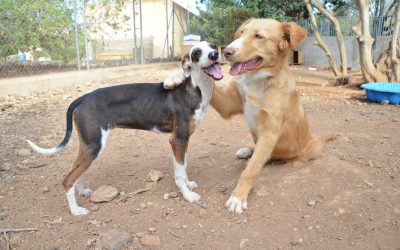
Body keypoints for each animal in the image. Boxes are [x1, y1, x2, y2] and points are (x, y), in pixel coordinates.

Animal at [26, 41, 223, 215]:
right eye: (196, 52)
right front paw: (188, 195)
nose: (214, 55)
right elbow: (179, 173)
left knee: (75, 170)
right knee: (67, 179)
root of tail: (82, 98)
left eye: (213, 46)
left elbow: (184, 167)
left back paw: (81, 191)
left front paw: (188, 185)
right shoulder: (178, 140)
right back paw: (75, 211)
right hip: (94, 146)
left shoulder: (184, 140)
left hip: (89, 145)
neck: (195, 88)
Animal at [164, 18, 336, 213]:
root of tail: (313, 140)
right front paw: (175, 77)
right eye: (242, 33)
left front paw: (238, 197)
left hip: (303, 149)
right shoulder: (229, 104)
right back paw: (247, 151)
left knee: (273, 157)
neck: (258, 80)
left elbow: (250, 170)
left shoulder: (269, 133)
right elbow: (208, 82)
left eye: (259, 36)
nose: (226, 51)